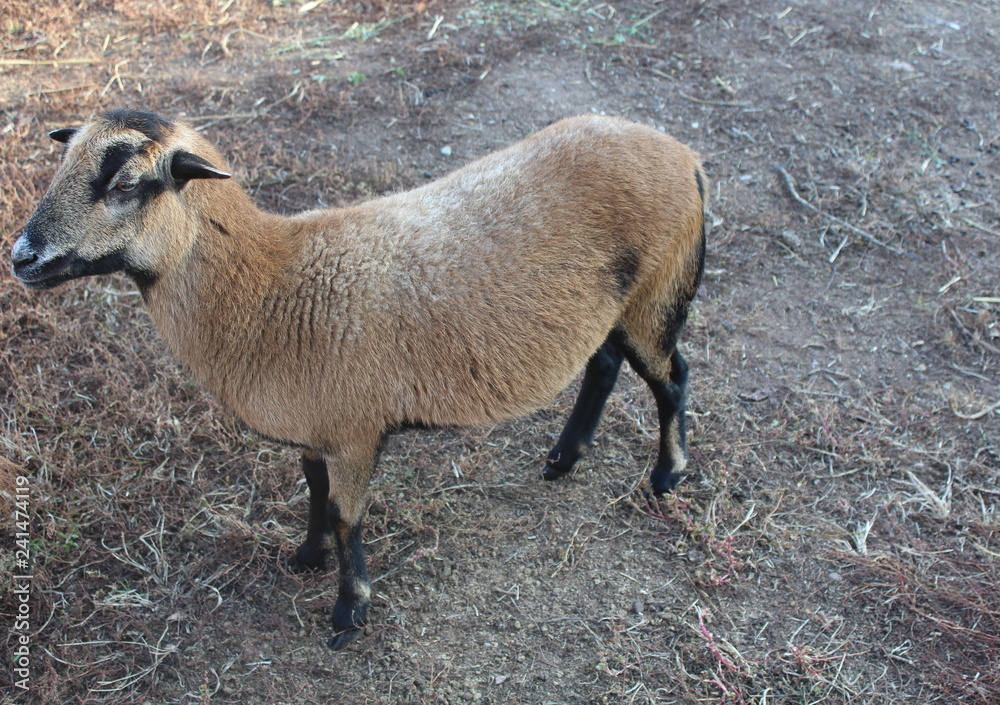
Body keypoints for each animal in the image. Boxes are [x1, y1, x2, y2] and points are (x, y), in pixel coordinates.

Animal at [11, 108, 707, 650]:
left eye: (128, 184)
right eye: (63, 163)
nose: (21, 257)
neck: (268, 287)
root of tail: (681, 152)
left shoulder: (352, 430)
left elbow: (348, 514)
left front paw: (350, 611)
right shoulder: (316, 423)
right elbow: (314, 491)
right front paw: (306, 556)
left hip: (656, 293)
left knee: (672, 378)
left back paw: (667, 475)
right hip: (609, 307)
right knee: (603, 365)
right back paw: (565, 456)